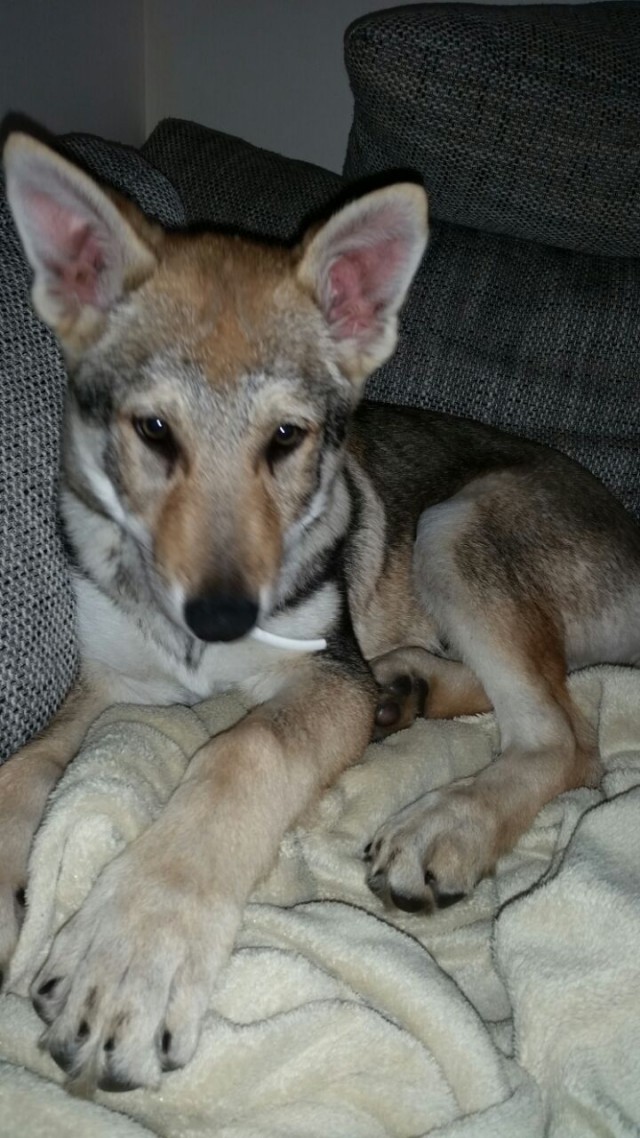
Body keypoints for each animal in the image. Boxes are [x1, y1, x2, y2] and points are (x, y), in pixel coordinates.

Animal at [1, 125, 639, 1091]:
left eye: (286, 439)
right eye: (153, 432)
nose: (220, 619)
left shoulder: (322, 672)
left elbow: (243, 753)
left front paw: (133, 956)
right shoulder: (114, 684)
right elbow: (30, 763)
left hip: (459, 525)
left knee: (566, 737)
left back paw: (446, 823)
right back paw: (407, 690)